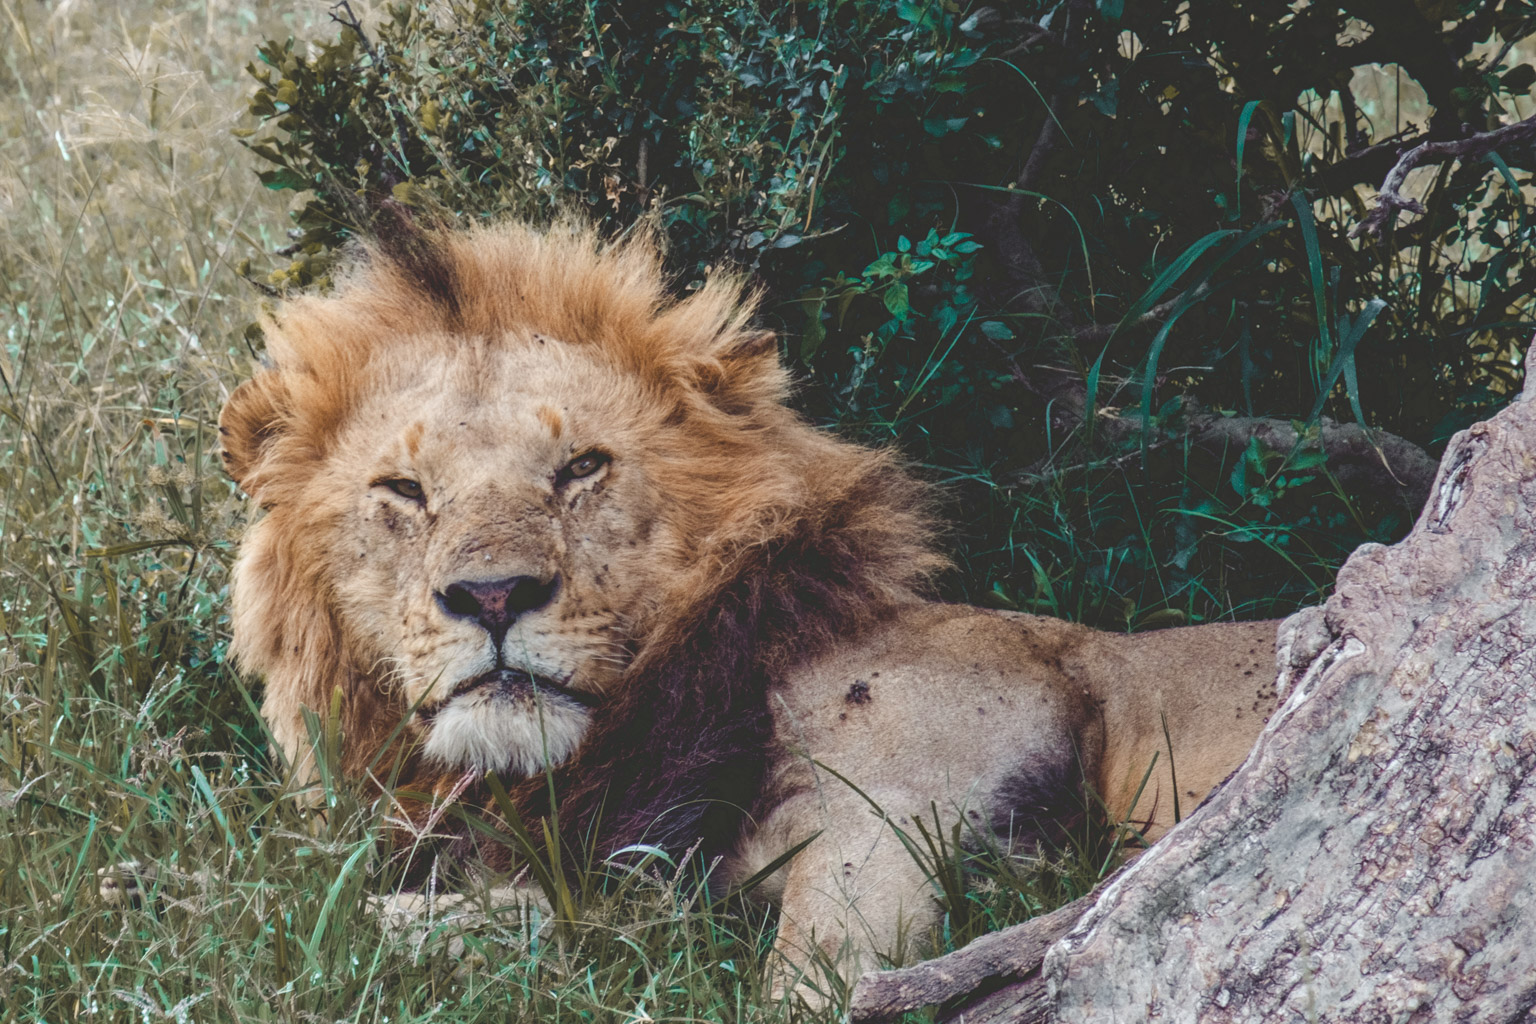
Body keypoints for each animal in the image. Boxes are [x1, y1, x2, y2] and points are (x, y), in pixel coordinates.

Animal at [217, 218, 1280, 999]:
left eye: (582, 468)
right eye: (403, 491)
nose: (492, 595)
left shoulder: (899, 804)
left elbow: (809, 983)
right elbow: (560, 918)